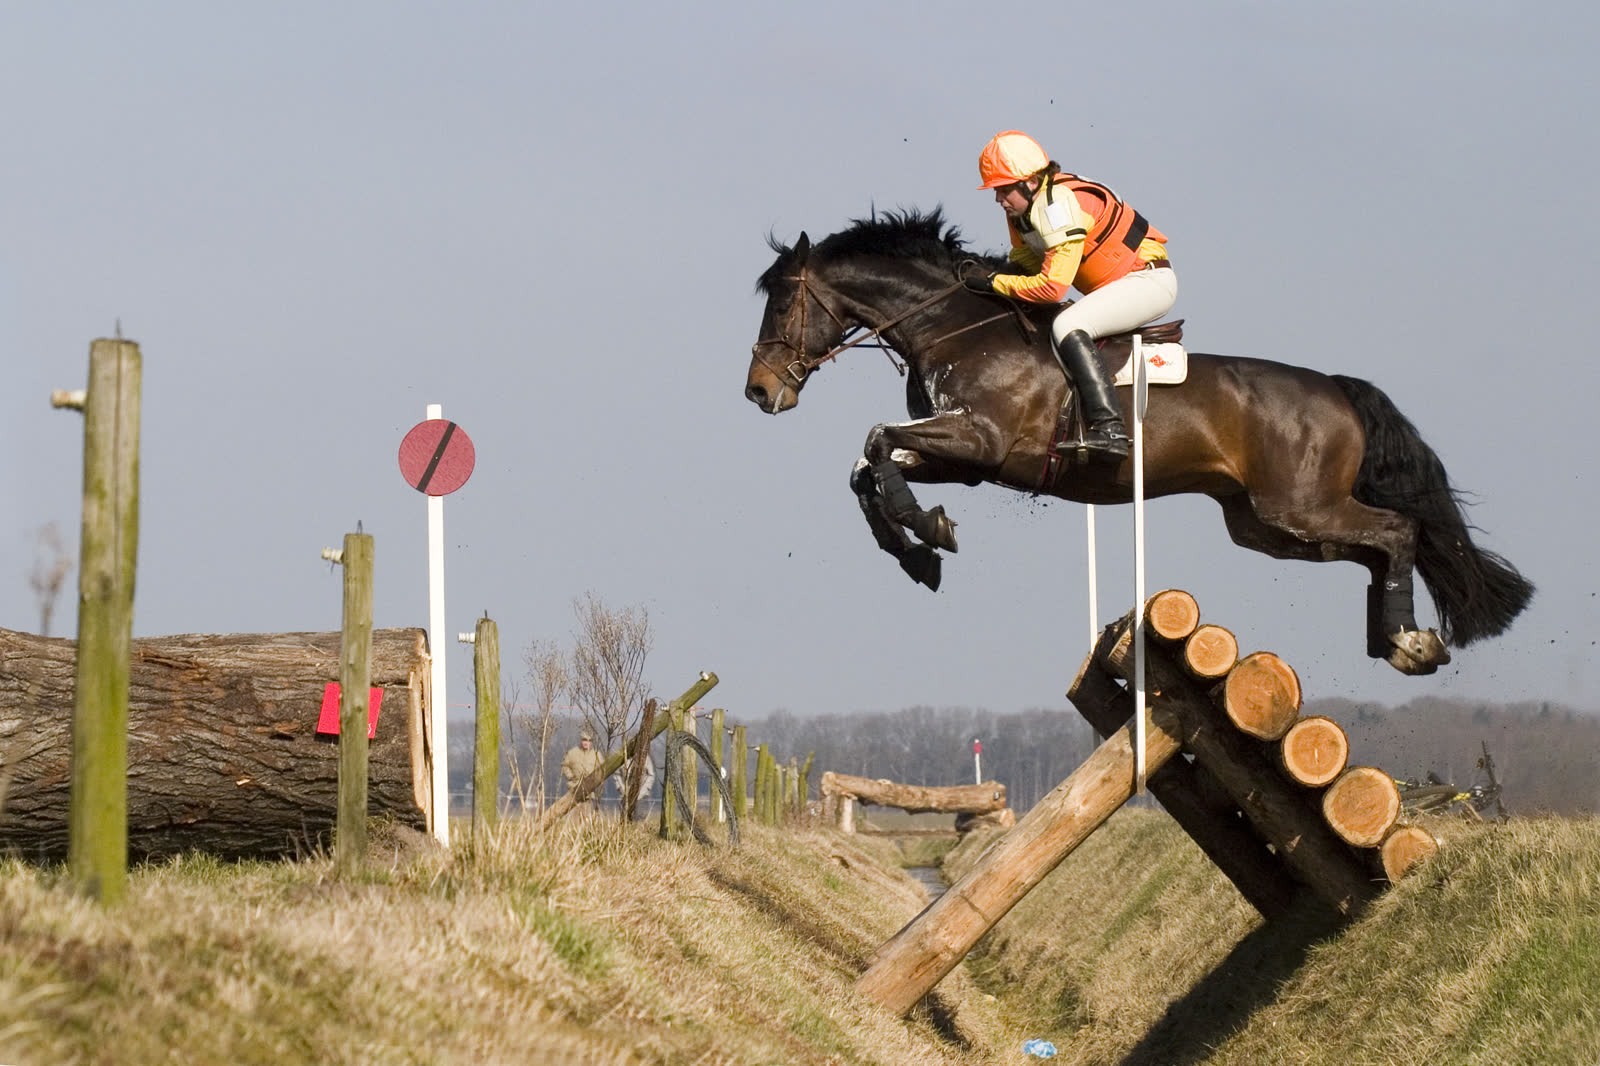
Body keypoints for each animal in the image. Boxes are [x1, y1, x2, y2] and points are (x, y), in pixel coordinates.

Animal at [743, 208, 1532, 676]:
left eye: (781, 304)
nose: (758, 391)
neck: (956, 326)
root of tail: (1337, 389)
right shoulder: (958, 457)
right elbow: (868, 467)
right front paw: (917, 548)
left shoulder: (982, 440)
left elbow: (874, 443)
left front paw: (926, 537)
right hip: (1267, 525)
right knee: (1377, 548)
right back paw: (1395, 637)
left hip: (1297, 506)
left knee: (1398, 532)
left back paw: (1408, 642)